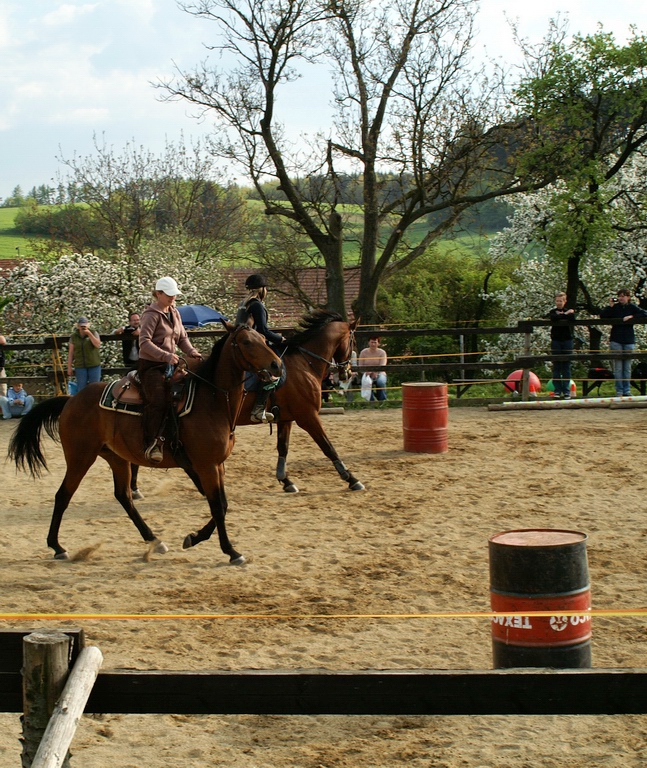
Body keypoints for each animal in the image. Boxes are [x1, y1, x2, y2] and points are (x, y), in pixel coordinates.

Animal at [8, 321, 282, 563]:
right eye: (246, 342)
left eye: (263, 338)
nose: (277, 365)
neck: (211, 402)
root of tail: (71, 400)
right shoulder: (206, 466)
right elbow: (217, 506)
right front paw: (231, 551)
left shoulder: (217, 465)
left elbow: (223, 505)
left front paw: (193, 538)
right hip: (80, 457)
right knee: (63, 495)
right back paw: (57, 547)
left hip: (116, 458)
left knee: (123, 496)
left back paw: (154, 540)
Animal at [237, 309, 366, 494]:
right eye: (353, 342)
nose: (347, 373)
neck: (305, 362)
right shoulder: (308, 416)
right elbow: (328, 447)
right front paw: (351, 479)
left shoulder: (285, 419)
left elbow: (283, 447)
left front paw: (286, 481)